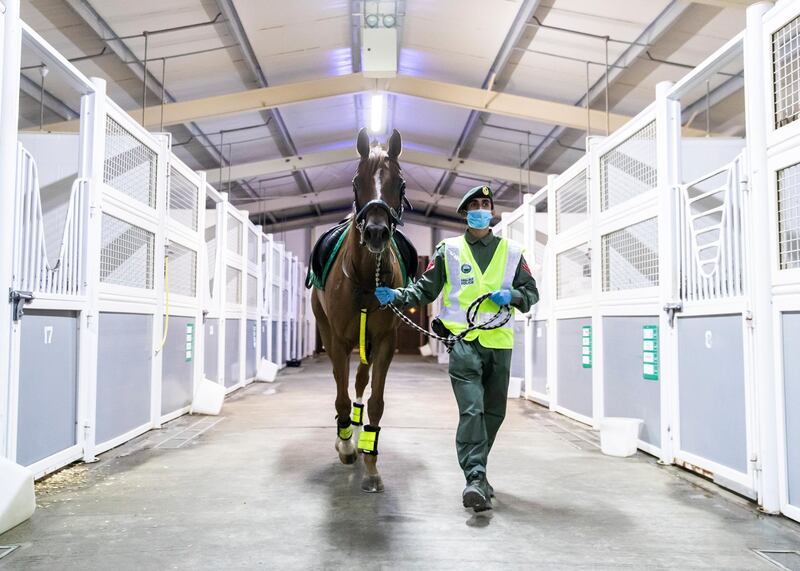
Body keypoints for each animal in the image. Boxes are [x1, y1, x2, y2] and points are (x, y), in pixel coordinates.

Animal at [310, 127, 410, 494]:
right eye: (356, 182)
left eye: (400, 184)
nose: (376, 232)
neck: (367, 279)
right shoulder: (337, 341)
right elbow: (339, 394)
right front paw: (345, 447)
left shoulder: (384, 342)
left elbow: (376, 401)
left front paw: (371, 464)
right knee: (343, 382)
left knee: (360, 382)